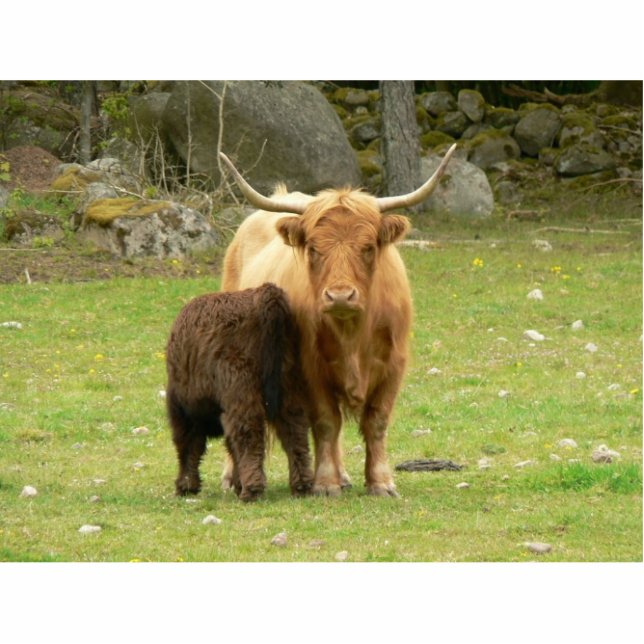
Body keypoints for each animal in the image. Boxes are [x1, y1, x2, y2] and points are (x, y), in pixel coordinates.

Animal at [165, 283, 314, 501]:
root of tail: (263, 293)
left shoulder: (183, 412)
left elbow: (189, 446)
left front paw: (185, 486)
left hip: (241, 390)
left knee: (249, 435)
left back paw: (251, 491)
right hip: (288, 388)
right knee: (295, 432)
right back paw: (302, 486)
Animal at [219, 144, 456, 497]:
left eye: (368, 247)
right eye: (314, 249)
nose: (341, 295)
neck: (353, 335)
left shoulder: (394, 364)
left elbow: (376, 421)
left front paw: (381, 482)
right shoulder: (311, 367)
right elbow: (326, 422)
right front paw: (326, 483)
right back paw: (230, 476)